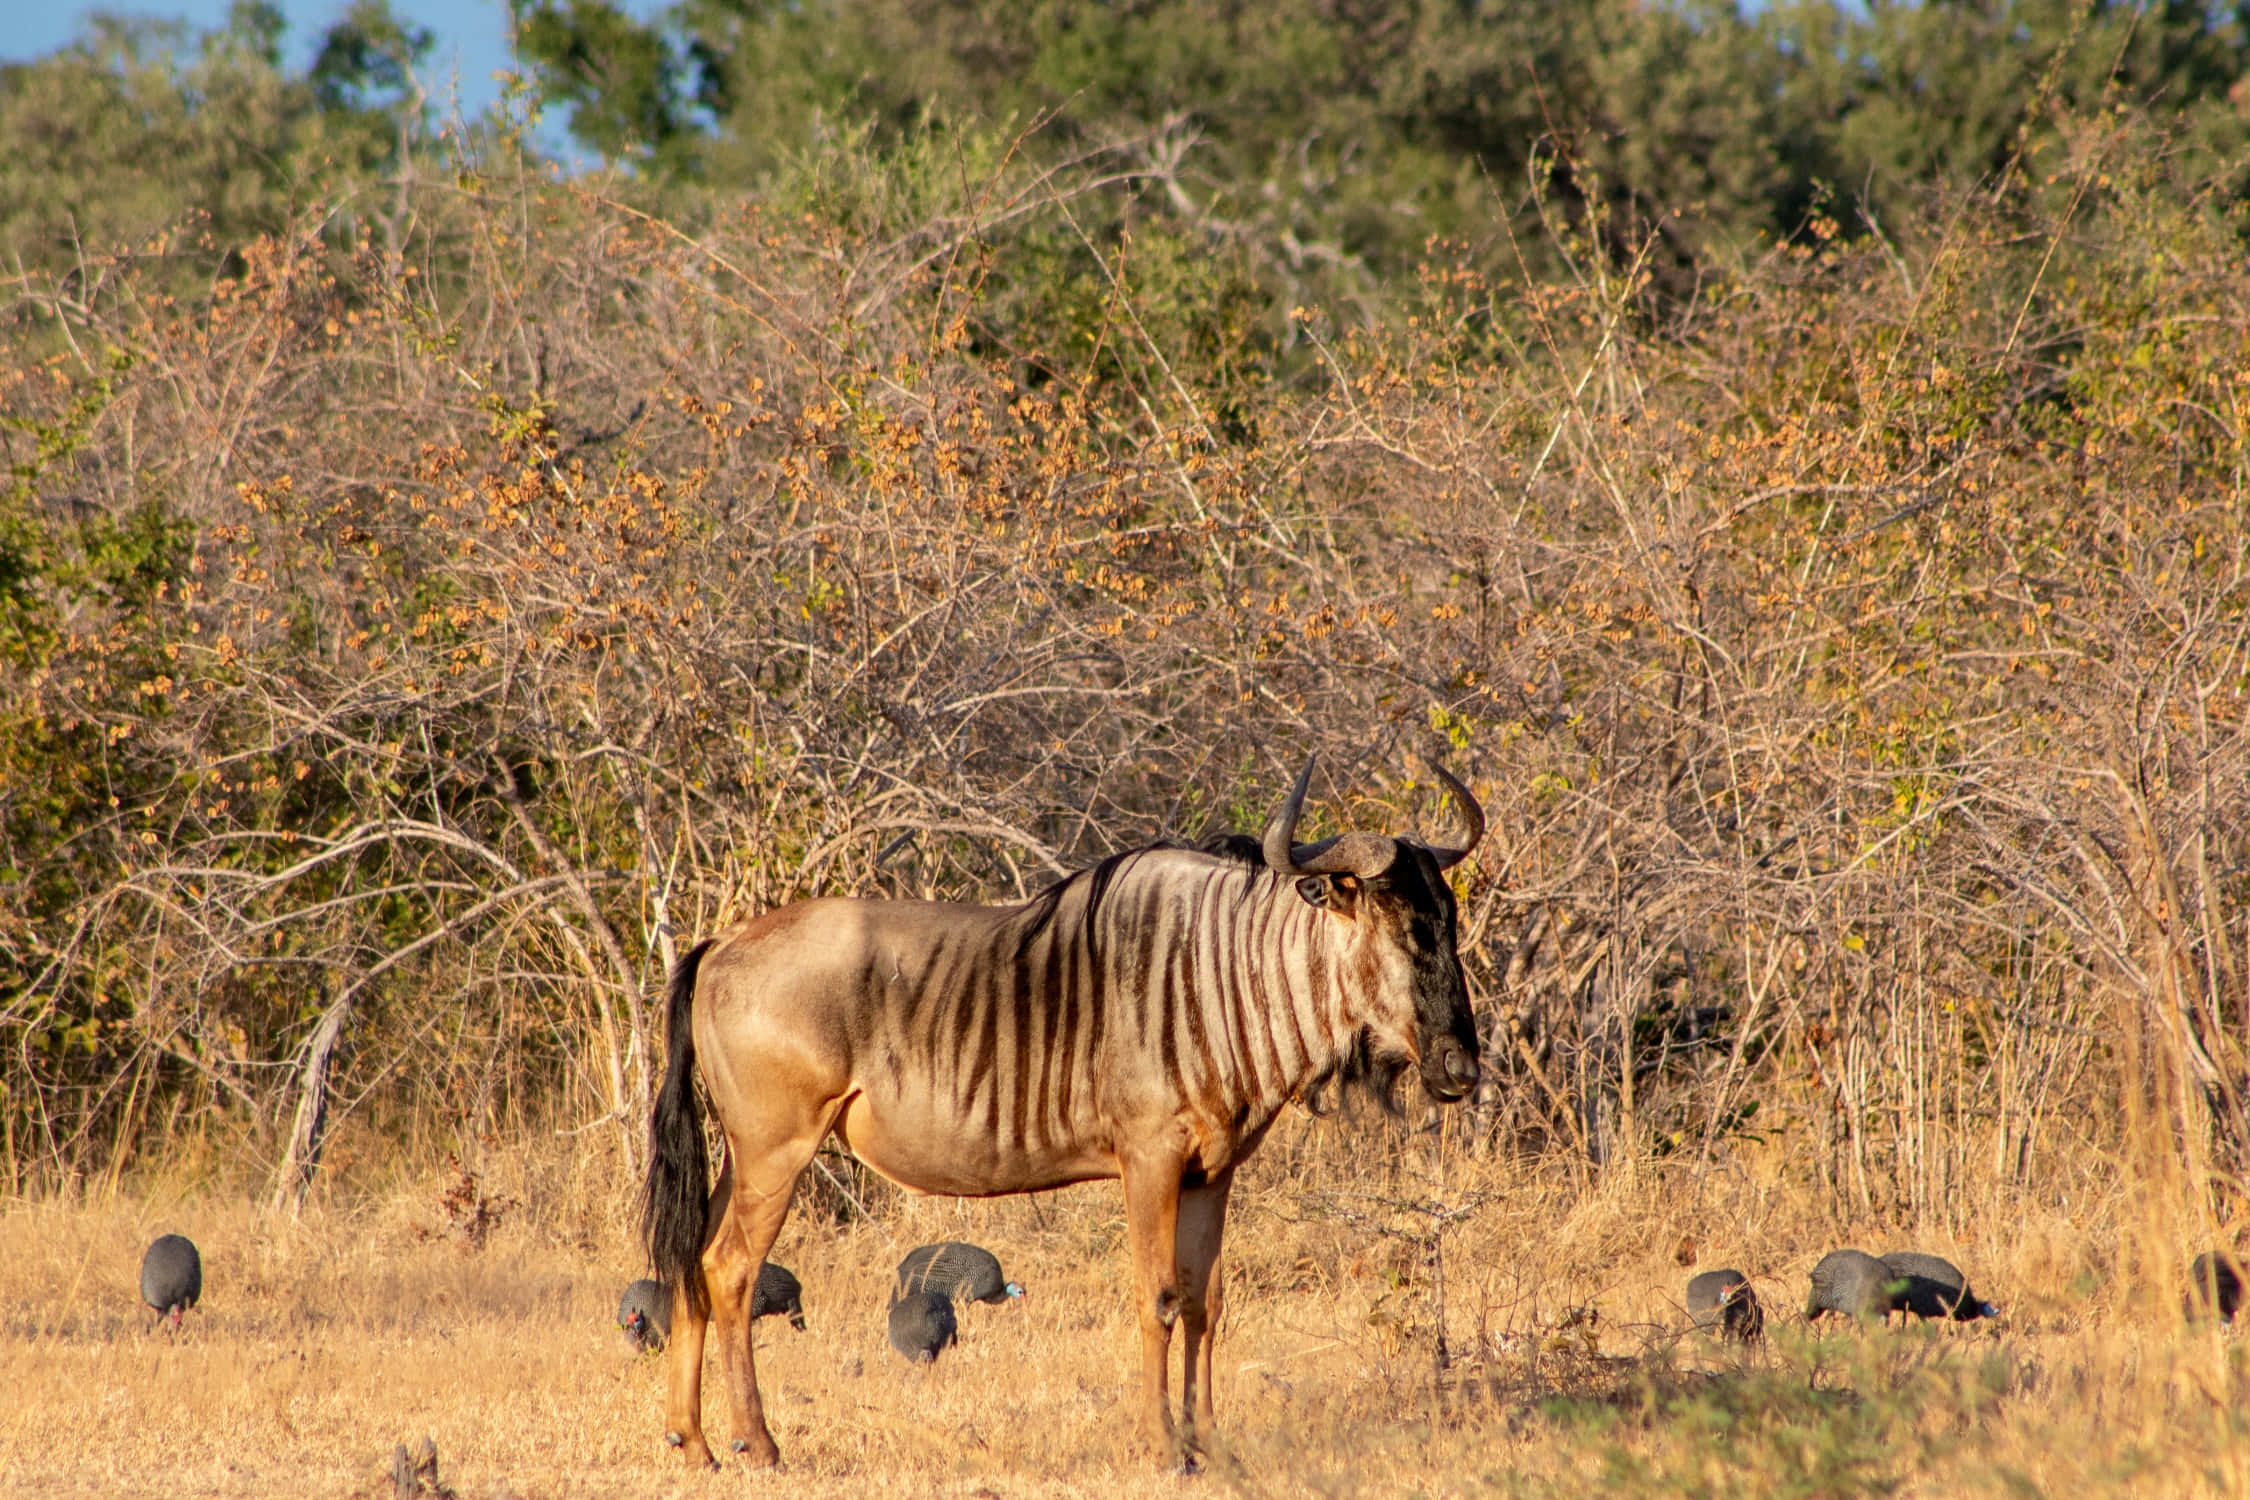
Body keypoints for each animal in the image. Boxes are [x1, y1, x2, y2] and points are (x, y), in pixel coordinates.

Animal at [641, 758, 1485, 1467]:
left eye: (1447, 921)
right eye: (1401, 928)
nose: (1461, 1070)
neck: (1223, 973)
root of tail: (719, 946)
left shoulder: (1212, 1173)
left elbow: (1206, 1302)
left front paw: (1210, 1444)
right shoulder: (1150, 1163)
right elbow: (1158, 1298)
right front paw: (1163, 1448)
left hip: (740, 1156)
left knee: (692, 1261)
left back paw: (694, 1444)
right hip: (778, 1152)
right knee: (731, 1270)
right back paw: (759, 1445)